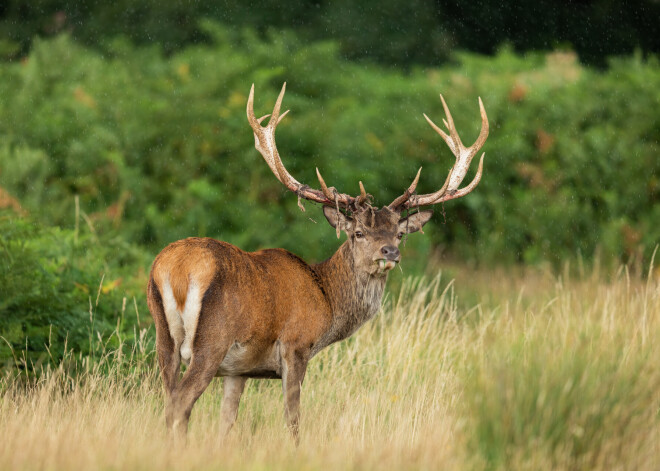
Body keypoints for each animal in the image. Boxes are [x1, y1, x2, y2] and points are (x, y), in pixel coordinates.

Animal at [147, 84, 488, 442]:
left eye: (399, 233)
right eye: (358, 232)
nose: (389, 253)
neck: (326, 299)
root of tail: (176, 269)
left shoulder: (238, 369)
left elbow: (227, 422)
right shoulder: (297, 345)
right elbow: (293, 418)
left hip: (164, 340)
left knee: (168, 400)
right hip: (212, 340)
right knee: (179, 405)